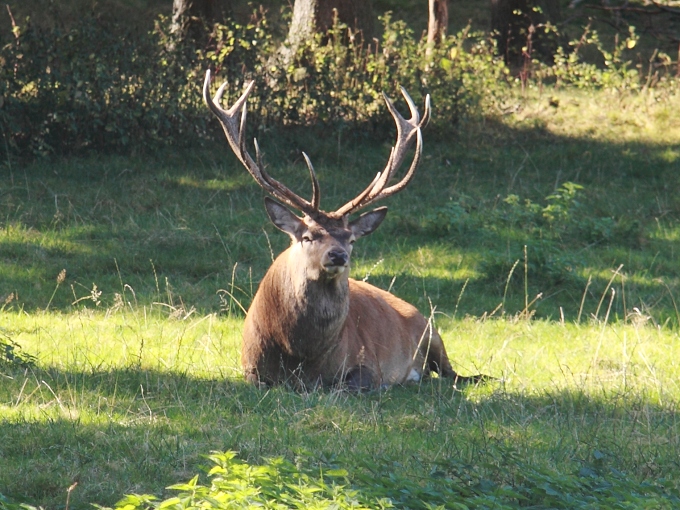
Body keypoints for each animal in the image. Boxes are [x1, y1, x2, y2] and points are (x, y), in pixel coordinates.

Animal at [203, 70, 486, 391]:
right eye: (308, 236)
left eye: (351, 239)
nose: (338, 256)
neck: (299, 358)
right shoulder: (250, 368)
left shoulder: (367, 362)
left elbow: (349, 384)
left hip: (432, 330)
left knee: (453, 372)